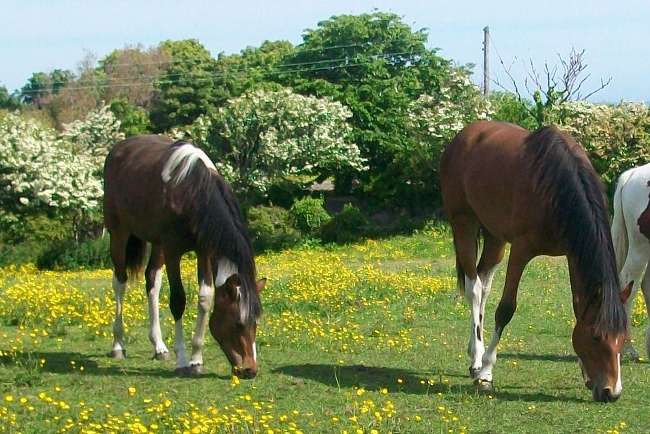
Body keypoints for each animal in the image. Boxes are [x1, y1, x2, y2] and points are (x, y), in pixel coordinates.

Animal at [102, 134, 262, 378]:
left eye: (256, 323)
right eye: (238, 323)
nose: (250, 370)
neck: (191, 191)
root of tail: (119, 148)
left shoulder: (204, 250)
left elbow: (205, 298)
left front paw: (196, 359)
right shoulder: (173, 251)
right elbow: (178, 300)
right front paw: (183, 361)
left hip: (157, 244)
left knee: (152, 280)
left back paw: (159, 347)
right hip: (119, 233)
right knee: (120, 282)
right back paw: (118, 345)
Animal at [440, 120, 628, 402]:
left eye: (623, 338)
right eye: (597, 337)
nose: (611, 392)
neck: (556, 186)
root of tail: (463, 135)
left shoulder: (572, 252)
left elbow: (578, 307)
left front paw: (585, 373)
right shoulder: (521, 250)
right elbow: (506, 309)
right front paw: (486, 373)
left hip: (495, 236)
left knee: (483, 285)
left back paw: (475, 354)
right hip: (464, 223)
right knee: (474, 289)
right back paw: (477, 360)